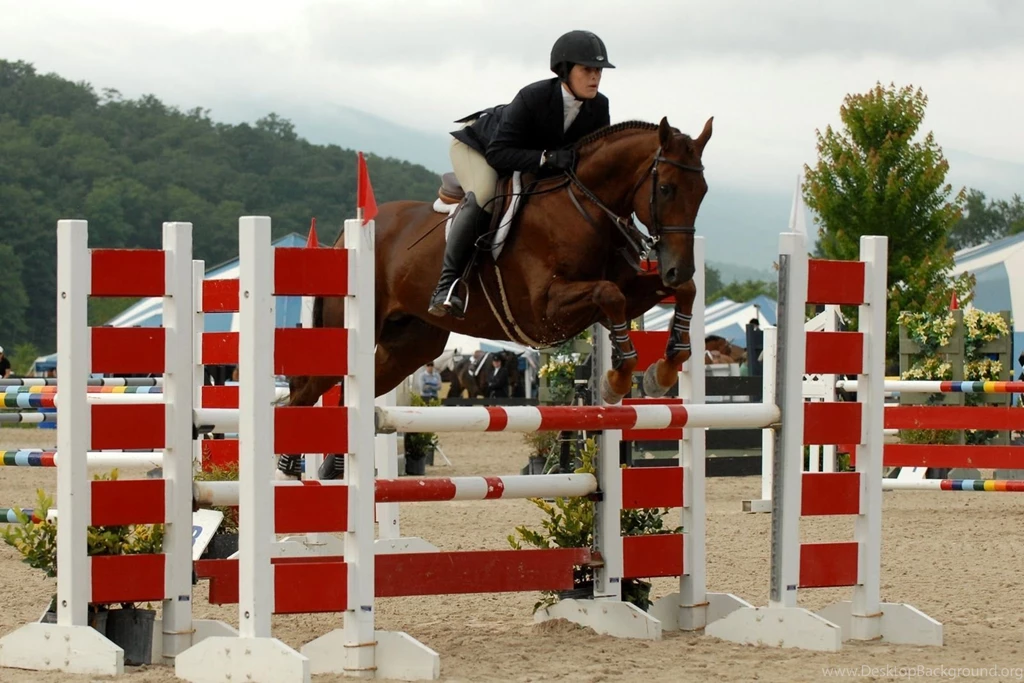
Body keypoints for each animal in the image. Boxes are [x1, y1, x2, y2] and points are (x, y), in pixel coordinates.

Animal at [287, 116, 713, 417]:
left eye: (703, 192)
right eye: (665, 189)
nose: (678, 268)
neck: (583, 206)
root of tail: (349, 234)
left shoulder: (616, 293)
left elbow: (679, 293)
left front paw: (664, 368)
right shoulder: (543, 311)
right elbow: (609, 295)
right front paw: (618, 379)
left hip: (410, 346)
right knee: (305, 395)